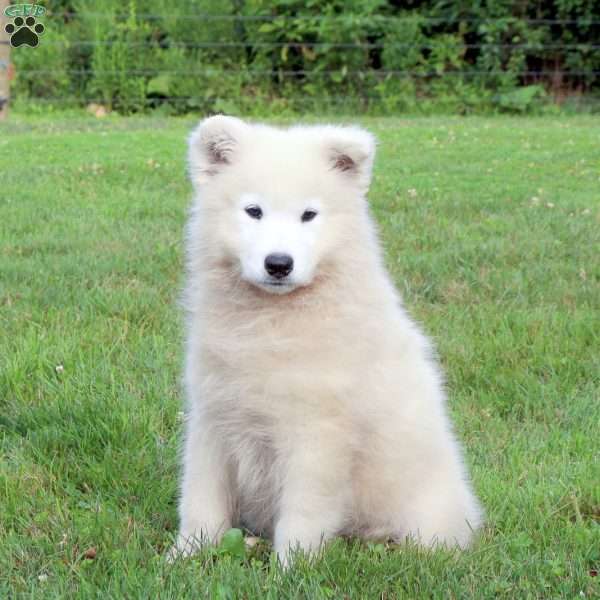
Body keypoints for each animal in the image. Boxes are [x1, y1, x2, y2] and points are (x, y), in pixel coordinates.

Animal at [175, 115, 482, 564]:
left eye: (309, 215)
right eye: (253, 211)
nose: (279, 264)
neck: (272, 322)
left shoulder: (317, 434)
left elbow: (303, 510)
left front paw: (290, 567)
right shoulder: (214, 417)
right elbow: (200, 496)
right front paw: (184, 556)